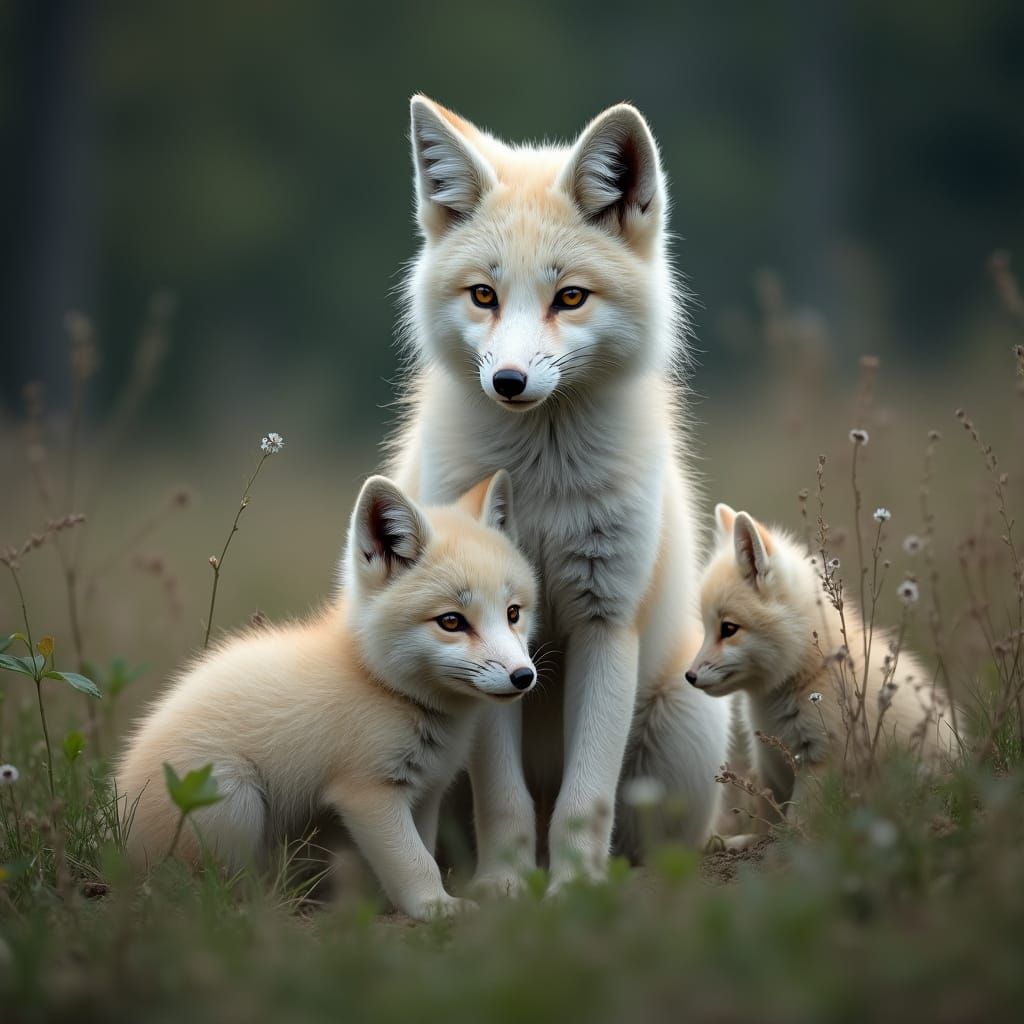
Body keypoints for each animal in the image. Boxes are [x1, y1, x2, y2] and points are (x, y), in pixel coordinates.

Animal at [116, 471, 538, 920]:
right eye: (452, 622)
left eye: (513, 613)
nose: (524, 677)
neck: (381, 683)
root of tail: (117, 822)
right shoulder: (368, 793)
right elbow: (416, 862)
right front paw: (436, 907)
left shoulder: (425, 791)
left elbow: (423, 851)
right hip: (235, 799)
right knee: (213, 886)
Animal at [387, 96, 731, 893]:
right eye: (483, 295)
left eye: (569, 297)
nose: (509, 381)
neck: (541, 488)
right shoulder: (495, 656)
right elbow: (504, 798)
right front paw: (507, 887)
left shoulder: (608, 620)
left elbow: (585, 796)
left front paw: (575, 888)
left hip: (685, 720)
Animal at [688, 503, 956, 844]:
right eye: (707, 628)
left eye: (728, 629)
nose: (689, 676)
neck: (806, 675)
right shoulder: (769, 762)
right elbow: (766, 817)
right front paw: (750, 841)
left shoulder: (820, 758)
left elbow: (796, 824)